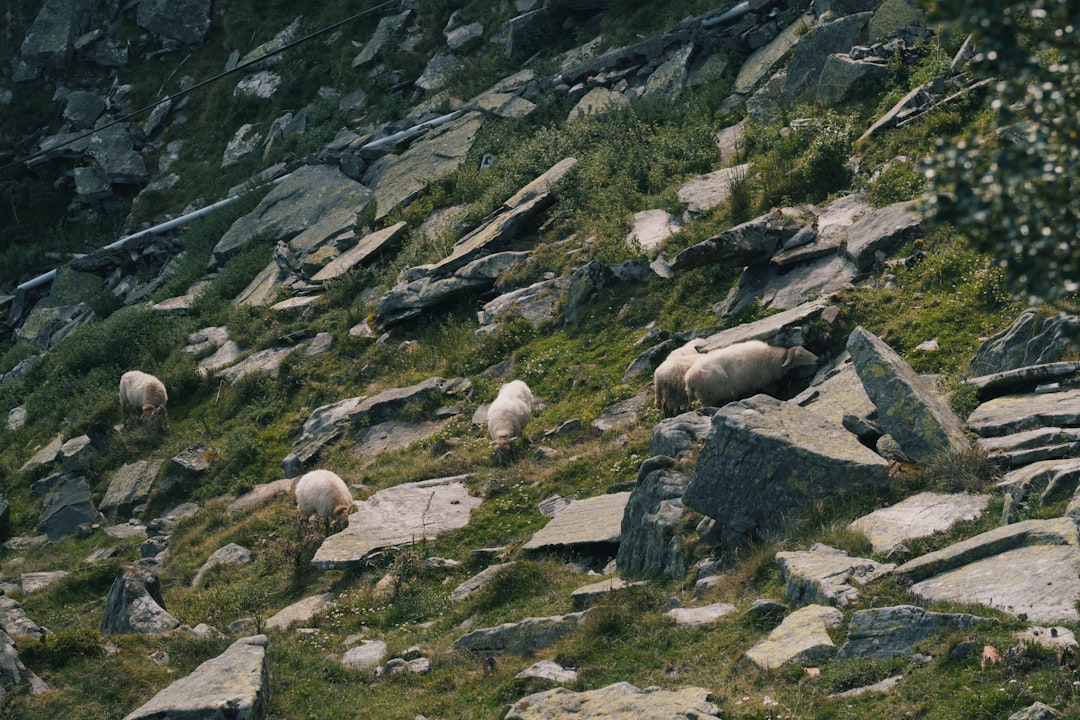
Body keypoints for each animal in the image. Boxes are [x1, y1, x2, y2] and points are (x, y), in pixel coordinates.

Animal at [682, 341, 816, 408]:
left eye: (805, 349)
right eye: (799, 356)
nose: (817, 359)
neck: (771, 358)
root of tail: (688, 380)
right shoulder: (763, 382)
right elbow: (773, 390)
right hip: (708, 397)